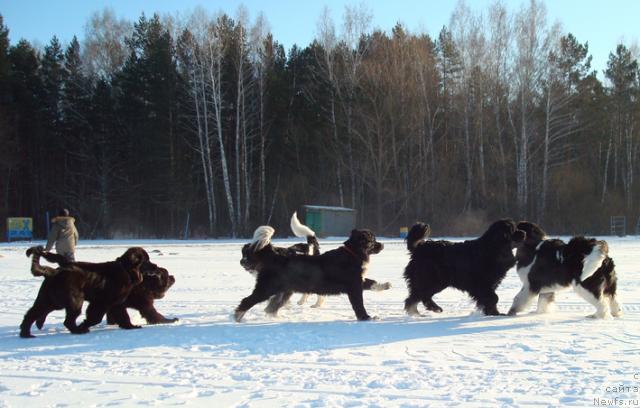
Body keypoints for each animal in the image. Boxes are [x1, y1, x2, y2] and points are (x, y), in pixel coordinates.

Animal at [18, 245, 149, 338]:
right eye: (146, 261)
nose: (154, 267)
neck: (125, 269)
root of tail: (54, 272)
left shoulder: (116, 303)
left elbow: (123, 316)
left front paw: (130, 326)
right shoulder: (101, 302)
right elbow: (95, 318)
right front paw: (84, 326)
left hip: (49, 301)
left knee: (31, 314)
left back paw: (26, 334)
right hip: (74, 301)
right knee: (67, 321)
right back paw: (78, 330)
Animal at [236, 225, 390, 320]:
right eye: (373, 240)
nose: (383, 245)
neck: (353, 253)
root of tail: (274, 255)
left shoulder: (359, 280)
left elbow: (372, 283)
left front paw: (386, 285)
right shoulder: (354, 286)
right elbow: (359, 304)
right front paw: (366, 318)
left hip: (284, 291)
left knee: (271, 308)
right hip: (267, 288)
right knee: (248, 300)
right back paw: (237, 317)